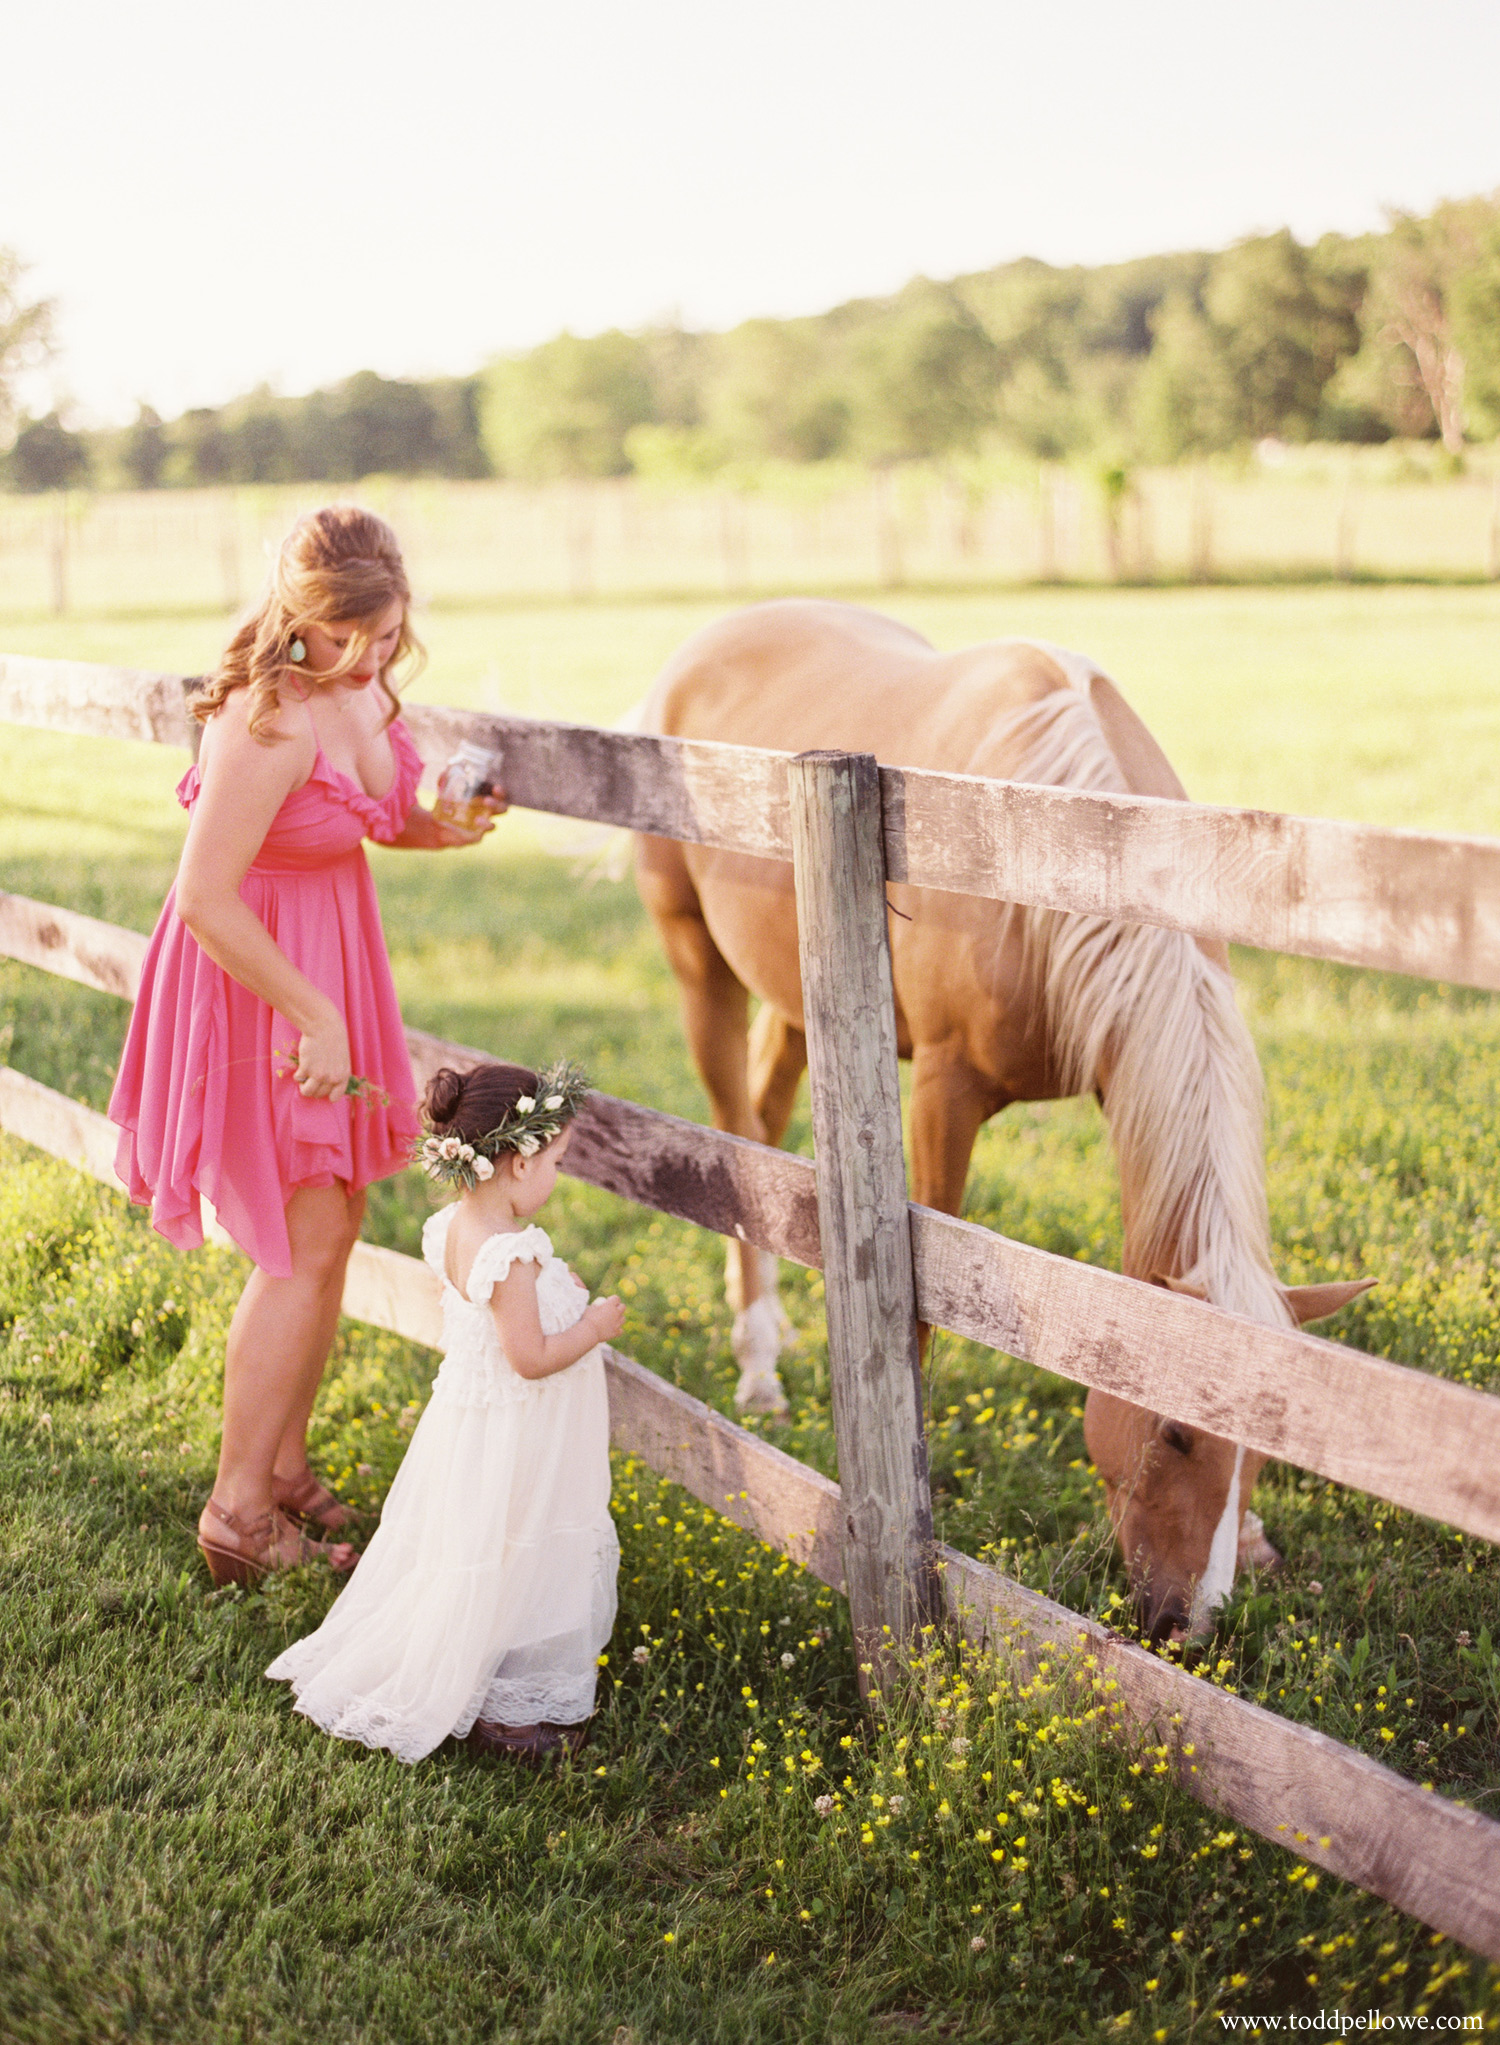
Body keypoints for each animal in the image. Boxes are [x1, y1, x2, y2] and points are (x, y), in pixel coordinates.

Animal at [630, 597, 1366, 1636]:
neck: (1041, 843)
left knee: (768, 1129)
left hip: (796, 995)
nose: (1191, 1625)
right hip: (700, 969)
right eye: (1175, 1431)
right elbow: (921, 1314)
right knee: (732, 1140)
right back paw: (760, 1367)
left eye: (1268, 1451)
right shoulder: (943, 1090)